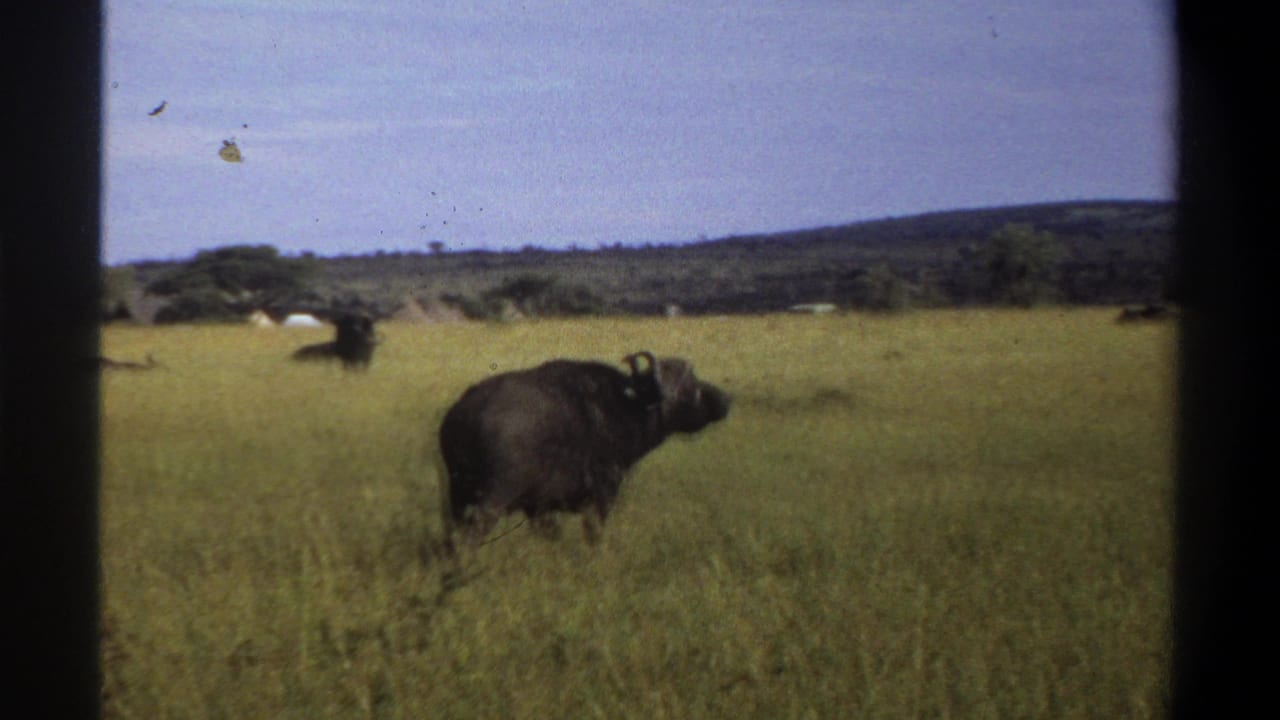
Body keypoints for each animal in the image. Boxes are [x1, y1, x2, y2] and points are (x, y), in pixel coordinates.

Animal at [437, 351, 730, 548]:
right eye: (689, 385)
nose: (724, 399)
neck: (626, 405)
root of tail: (463, 415)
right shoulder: (602, 497)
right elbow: (594, 535)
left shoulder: (540, 509)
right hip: (491, 500)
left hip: (458, 498)